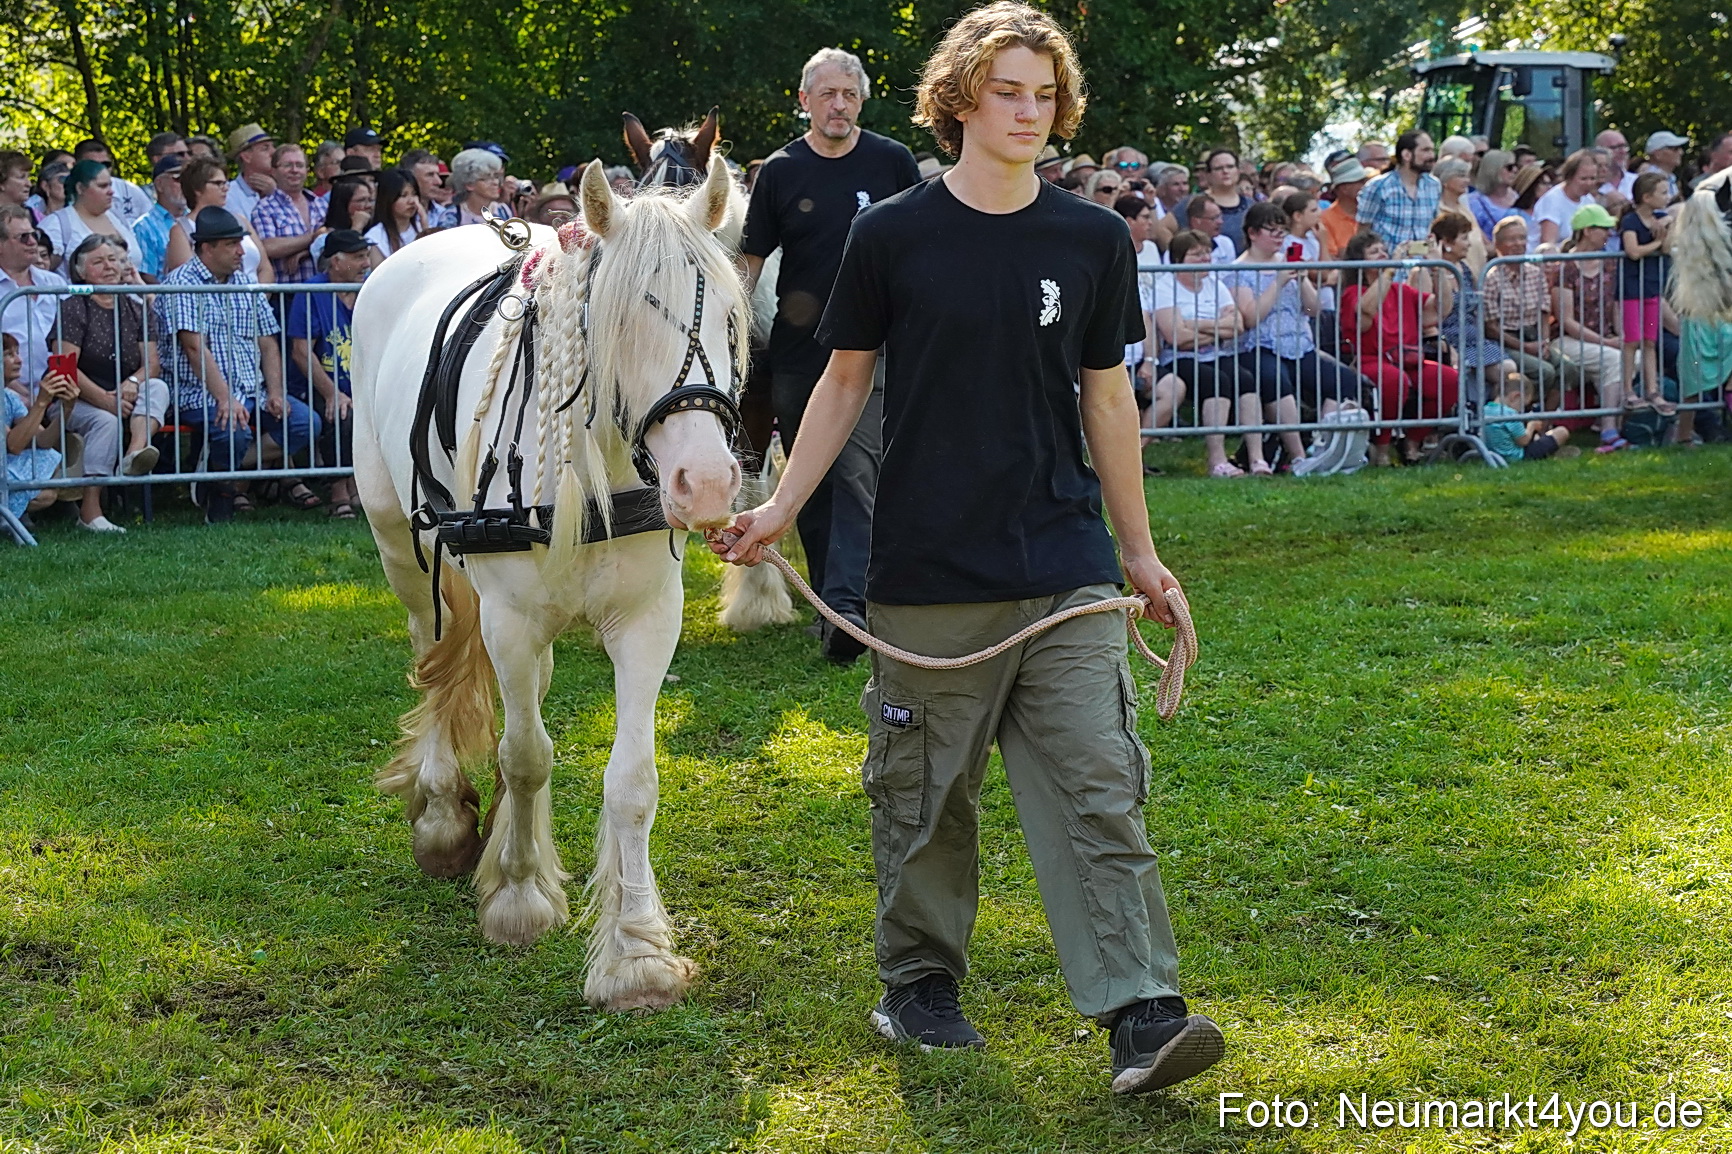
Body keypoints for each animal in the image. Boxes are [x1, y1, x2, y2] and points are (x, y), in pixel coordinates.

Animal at [351, 156, 755, 1012]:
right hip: (402, 547)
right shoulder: (506, 616)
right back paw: (444, 815)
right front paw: (517, 897)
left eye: (730, 324)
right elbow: (526, 754)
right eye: (619, 324)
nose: (705, 482)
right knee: (434, 664)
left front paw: (636, 952)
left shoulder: (649, 619)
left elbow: (630, 779)